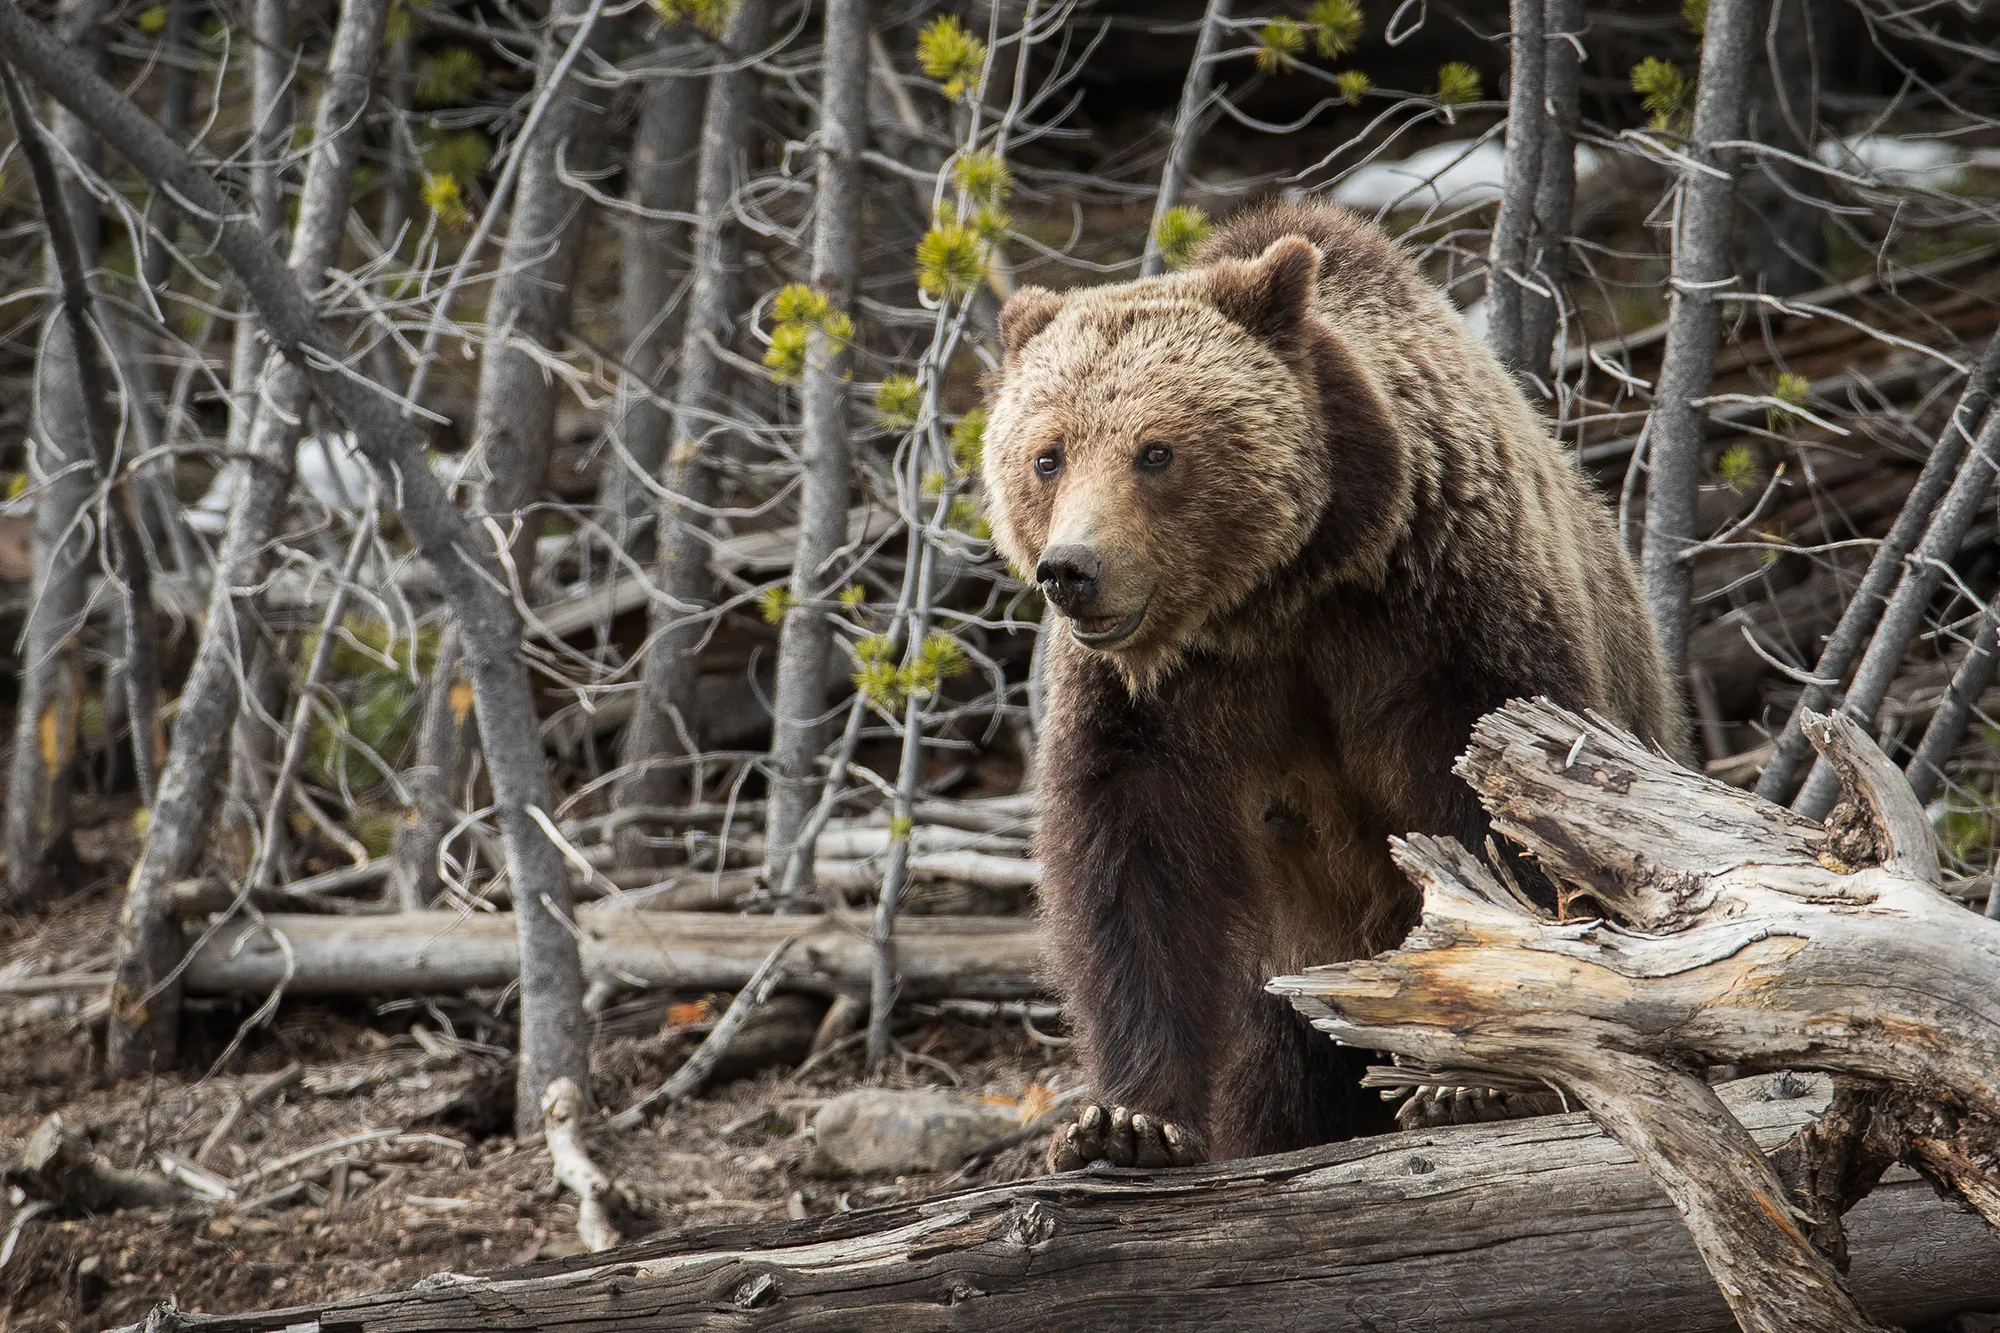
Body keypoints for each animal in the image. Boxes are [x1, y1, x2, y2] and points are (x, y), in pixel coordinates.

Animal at [980, 198, 1688, 1172]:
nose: (1072, 570)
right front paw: (1127, 1121)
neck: (1279, 594)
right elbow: (1132, 866)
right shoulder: (1152, 699)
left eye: (1155, 451)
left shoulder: (1441, 617)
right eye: (1047, 455)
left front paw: (1472, 1082)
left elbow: (1503, 818)